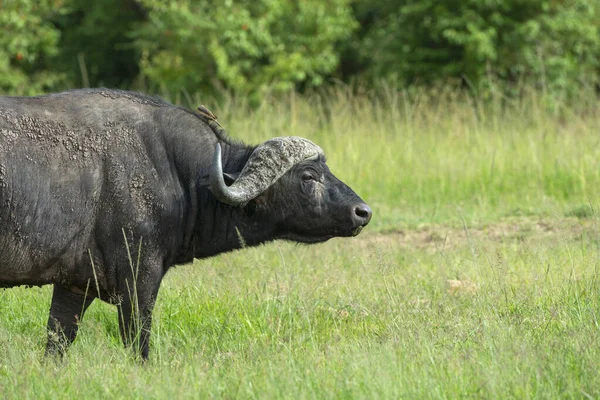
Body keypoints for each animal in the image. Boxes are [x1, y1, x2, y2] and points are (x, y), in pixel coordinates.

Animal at [0, 88, 370, 360]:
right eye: (308, 176)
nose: (362, 212)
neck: (177, 172)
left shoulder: (74, 285)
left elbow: (56, 343)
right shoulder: (139, 281)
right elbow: (138, 345)